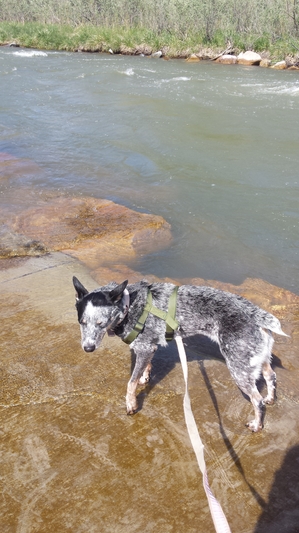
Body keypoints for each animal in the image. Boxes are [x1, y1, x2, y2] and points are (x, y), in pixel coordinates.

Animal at [72, 276, 288, 430]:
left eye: (101, 323)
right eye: (82, 322)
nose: (88, 348)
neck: (129, 304)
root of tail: (257, 315)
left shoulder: (143, 348)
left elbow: (130, 383)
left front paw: (131, 404)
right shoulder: (148, 347)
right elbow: (146, 367)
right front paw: (144, 377)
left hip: (239, 369)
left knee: (257, 401)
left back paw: (257, 424)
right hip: (257, 358)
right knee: (271, 376)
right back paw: (271, 398)